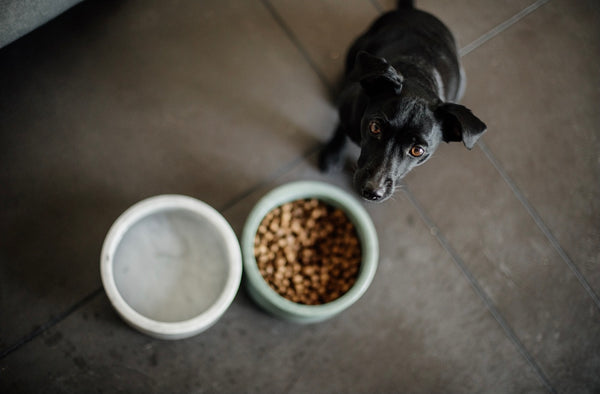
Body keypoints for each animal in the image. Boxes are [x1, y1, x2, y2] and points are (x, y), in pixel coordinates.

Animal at [318, 0, 488, 202]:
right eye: (375, 127)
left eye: (417, 150)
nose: (372, 192)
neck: (418, 74)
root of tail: (414, 10)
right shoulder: (348, 112)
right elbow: (341, 129)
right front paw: (333, 153)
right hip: (357, 46)